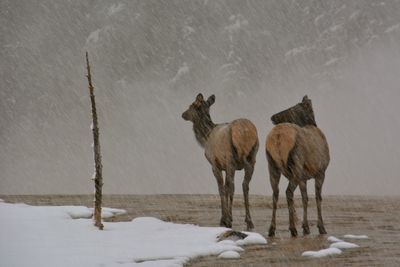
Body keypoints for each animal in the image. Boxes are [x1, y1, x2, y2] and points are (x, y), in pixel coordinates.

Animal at [182, 93, 260, 230]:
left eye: (191, 106)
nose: (183, 114)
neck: (206, 137)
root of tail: (245, 134)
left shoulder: (215, 164)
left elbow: (222, 188)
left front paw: (224, 219)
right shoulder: (225, 166)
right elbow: (226, 187)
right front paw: (228, 217)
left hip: (231, 159)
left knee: (233, 186)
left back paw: (229, 220)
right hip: (253, 158)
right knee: (245, 185)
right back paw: (249, 221)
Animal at [266, 96, 328, 237]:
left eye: (290, 108)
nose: (273, 117)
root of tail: (278, 137)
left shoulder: (303, 178)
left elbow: (305, 198)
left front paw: (306, 227)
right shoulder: (321, 172)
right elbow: (317, 197)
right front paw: (320, 227)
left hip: (272, 165)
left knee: (275, 193)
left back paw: (272, 229)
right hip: (296, 166)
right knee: (288, 192)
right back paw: (293, 228)